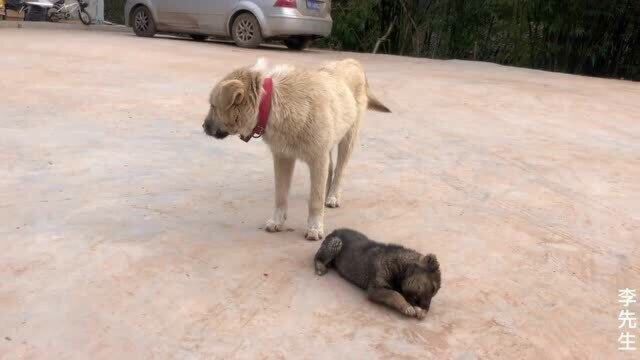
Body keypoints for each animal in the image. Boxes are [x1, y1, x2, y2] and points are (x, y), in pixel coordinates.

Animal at [202, 58, 390, 239]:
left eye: (213, 106)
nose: (203, 127)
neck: (271, 104)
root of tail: (353, 62)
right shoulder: (283, 158)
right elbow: (281, 195)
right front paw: (277, 221)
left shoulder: (318, 158)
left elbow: (315, 200)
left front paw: (315, 227)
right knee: (329, 169)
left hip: (348, 138)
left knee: (339, 170)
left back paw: (332, 196)